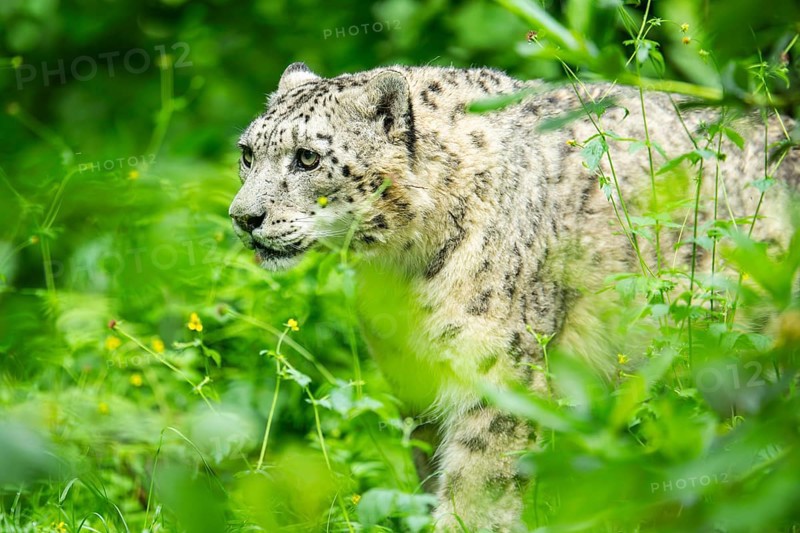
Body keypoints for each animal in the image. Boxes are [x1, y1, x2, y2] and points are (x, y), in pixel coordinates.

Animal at [229, 62, 798, 532]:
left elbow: (477, 485)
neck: (400, 272)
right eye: (248, 154)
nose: (243, 217)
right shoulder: (411, 376)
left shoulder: (497, 369)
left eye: (307, 158)